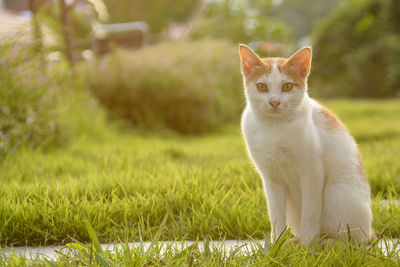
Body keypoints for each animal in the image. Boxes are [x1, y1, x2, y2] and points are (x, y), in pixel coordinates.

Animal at [239, 45, 374, 246]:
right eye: (261, 86)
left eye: (287, 86)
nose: (274, 102)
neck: (275, 127)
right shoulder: (271, 180)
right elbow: (276, 216)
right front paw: (277, 244)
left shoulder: (312, 175)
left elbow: (309, 215)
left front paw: (308, 247)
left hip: (337, 195)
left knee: (352, 242)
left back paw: (326, 243)